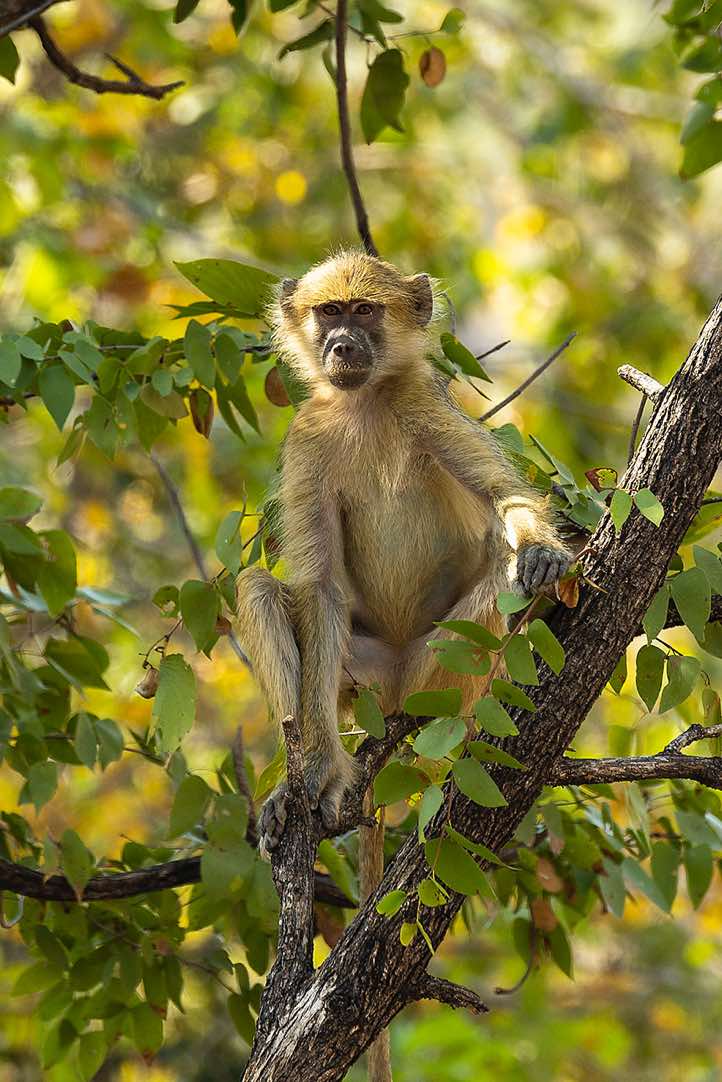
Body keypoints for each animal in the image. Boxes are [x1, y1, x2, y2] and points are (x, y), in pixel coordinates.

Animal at [234, 250, 570, 1074]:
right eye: (329, 312)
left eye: (365, 312)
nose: (340, 347)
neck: (365, 405)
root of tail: (390, 695)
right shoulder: (308, 437)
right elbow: (318, 590)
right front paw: (319, 776)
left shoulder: (425, 404)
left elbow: (506, 497)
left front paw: (543, 553)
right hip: (353, 678)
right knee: (257, 585)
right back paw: (309, 780)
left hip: (436, 670)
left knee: (501, 588)